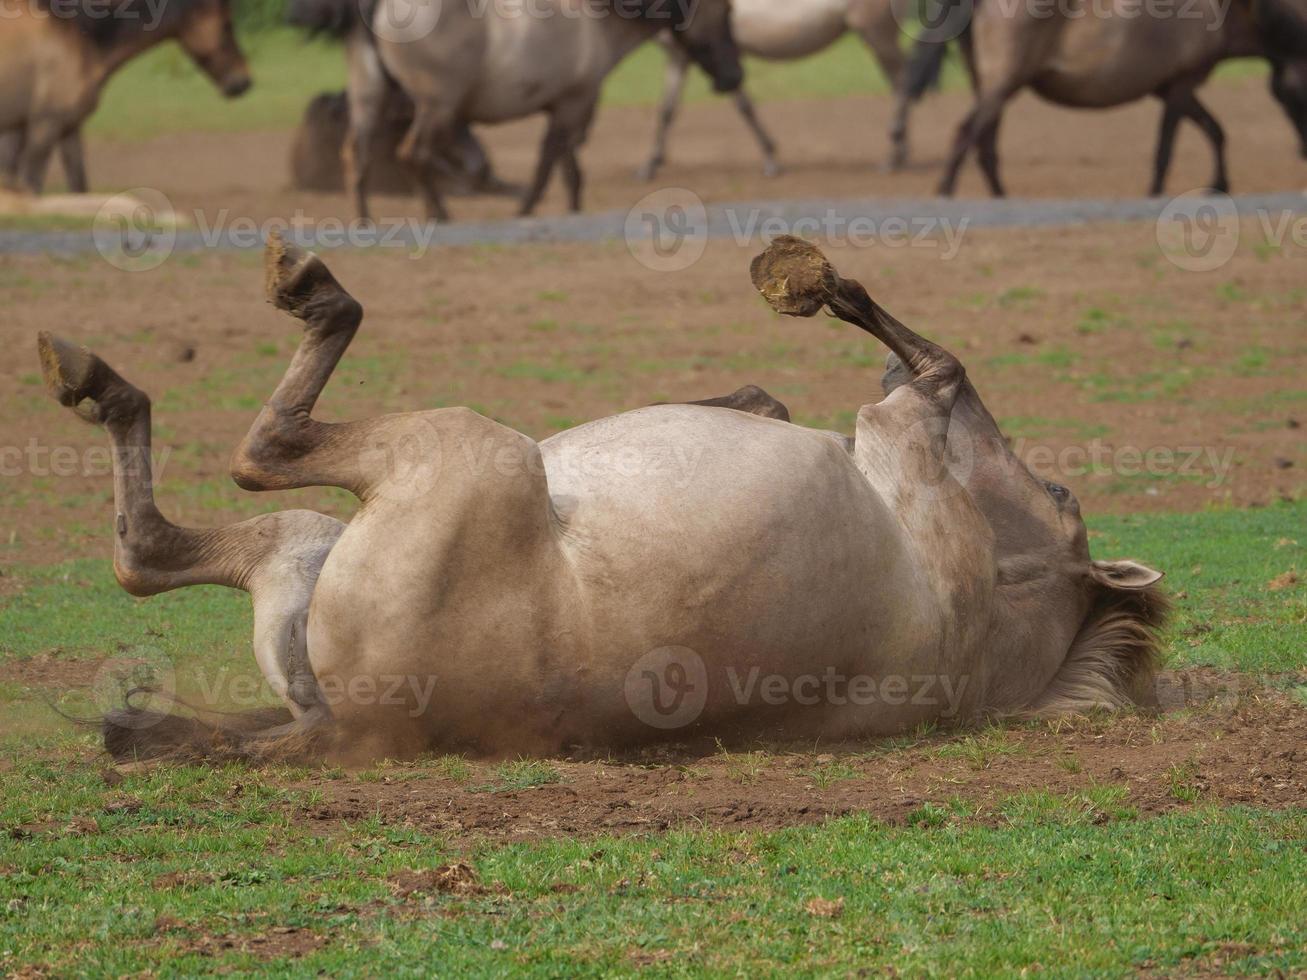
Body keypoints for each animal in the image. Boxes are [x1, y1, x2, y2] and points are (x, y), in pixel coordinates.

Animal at [38, 236, 1165, 757]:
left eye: (1056, 483)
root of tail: (352, 730)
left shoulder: (904, 427)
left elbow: (936, 362)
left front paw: (816, 285)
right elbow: (779, 394)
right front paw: (762, 373)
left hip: (451, 447)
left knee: (251, 458)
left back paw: (263, 307)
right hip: (311, 543)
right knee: (149, 550)